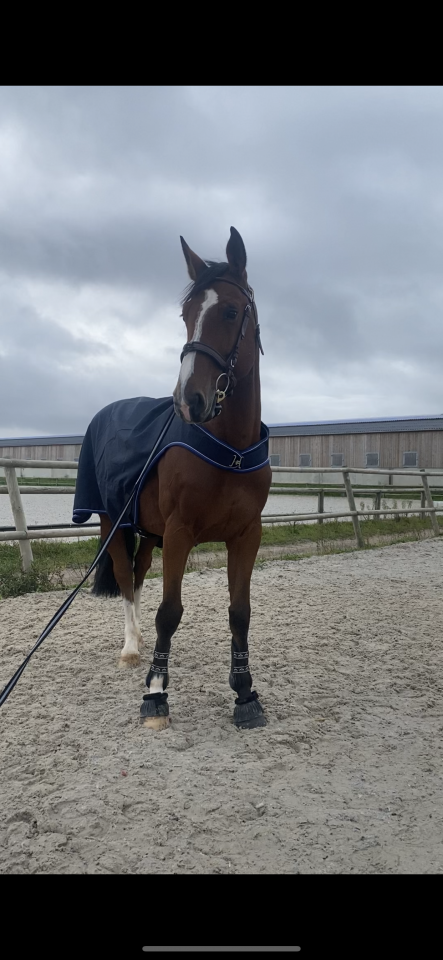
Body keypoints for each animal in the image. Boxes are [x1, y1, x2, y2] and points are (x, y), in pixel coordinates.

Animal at [86, 227, 272, 730]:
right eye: (186, 315)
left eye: (231, 311)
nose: (190, 400)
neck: (230, 450)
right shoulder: (180, 533)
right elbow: (169, 612)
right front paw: (155, 694)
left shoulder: (246, 535)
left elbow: (241, 612)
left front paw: (245, 694)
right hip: (114, 523)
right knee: (124, 578)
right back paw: (132, 649)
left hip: (148, 533)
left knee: (137, 575)